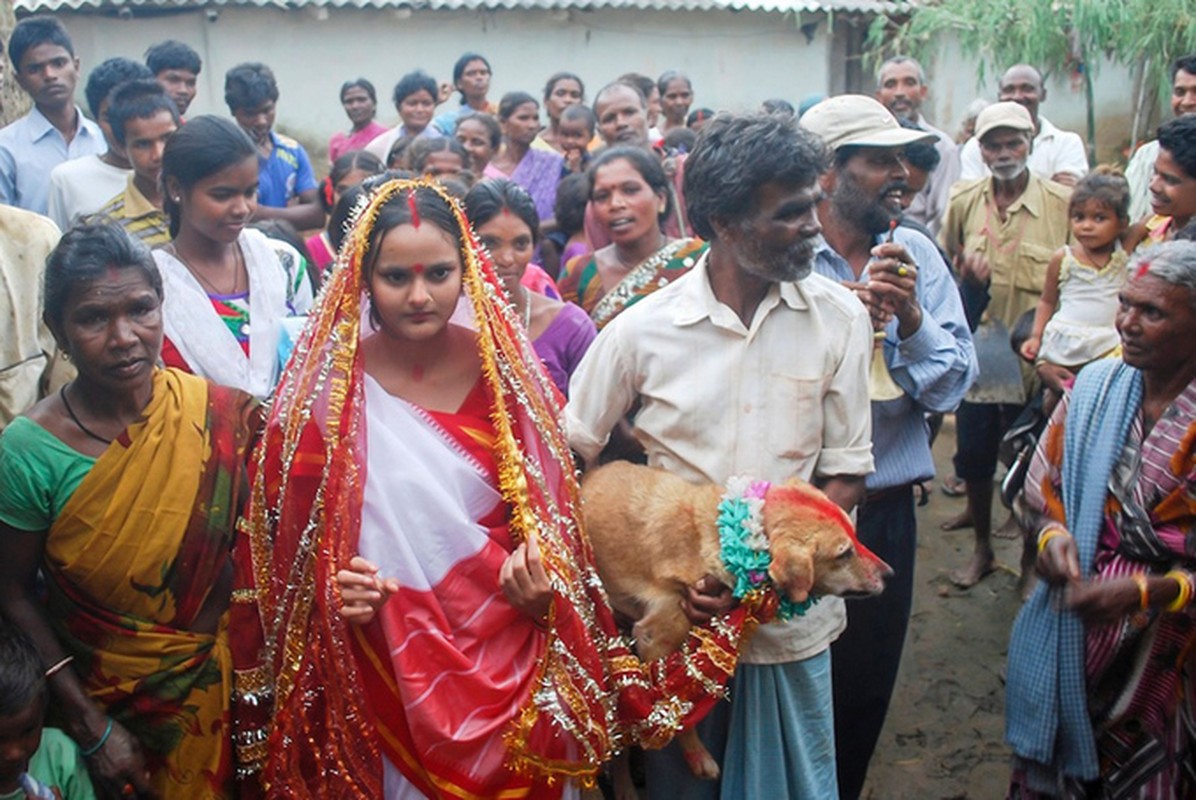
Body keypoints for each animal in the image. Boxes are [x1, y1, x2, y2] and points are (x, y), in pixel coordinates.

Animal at [578, 461, 889, 779]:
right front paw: (696, 754)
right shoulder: (654, 638)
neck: (715, 536)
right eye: (844, 553)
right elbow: (676, 713)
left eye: (854, 535)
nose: (889, 573)